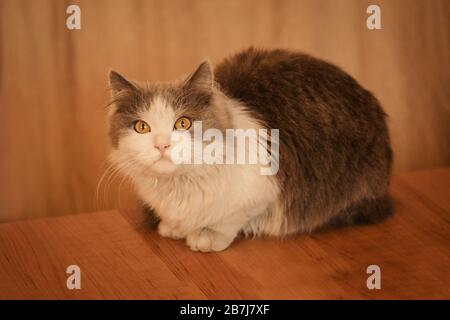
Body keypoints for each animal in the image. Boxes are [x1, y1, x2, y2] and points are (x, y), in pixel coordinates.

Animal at [107, 47, 392, 252]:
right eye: (142, 127)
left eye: (183, 123)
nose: (161, 144)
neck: (178, 186)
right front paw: (173, 226)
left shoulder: (263, 191)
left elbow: (232, 218)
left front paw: (206, 235)